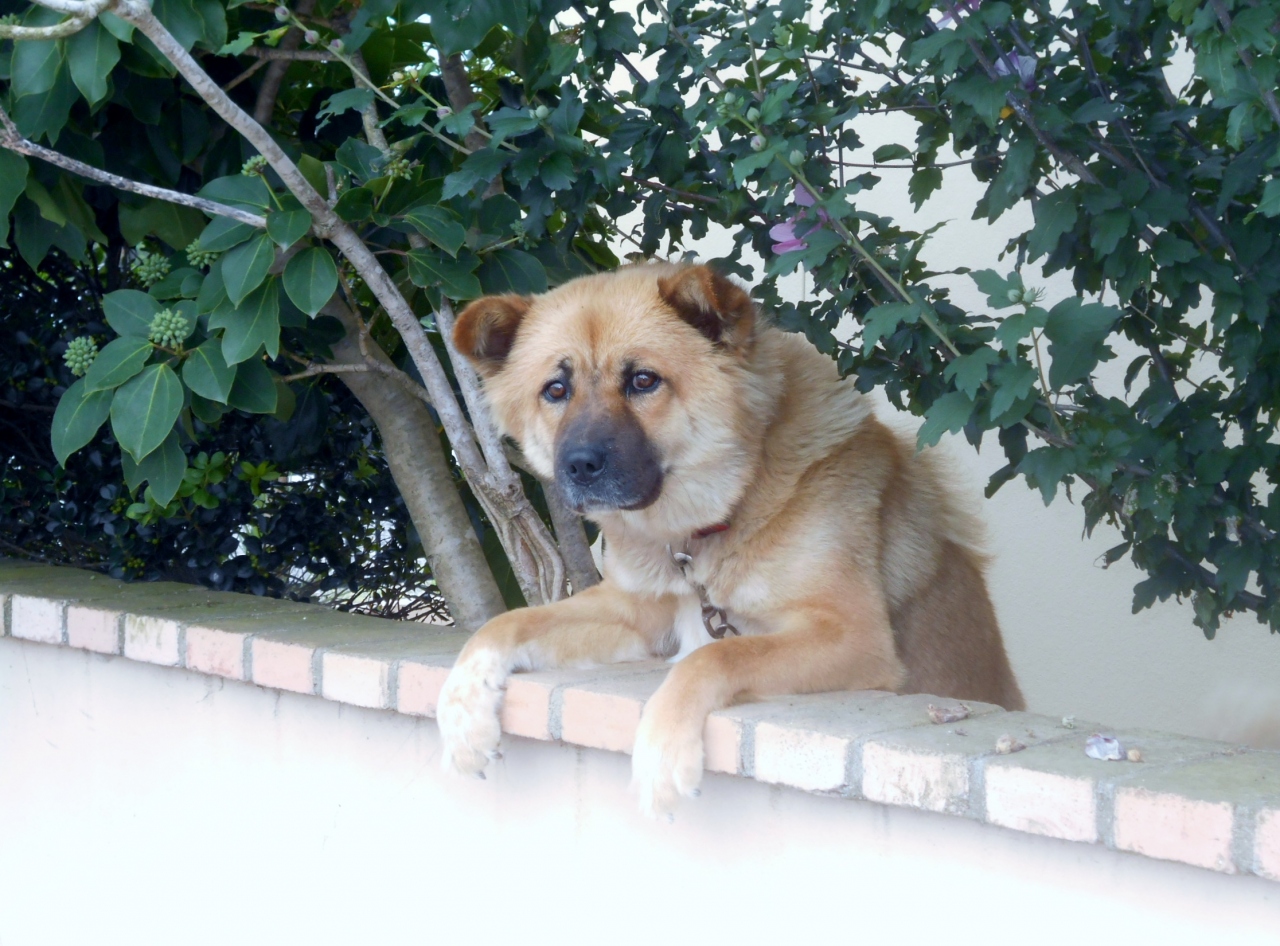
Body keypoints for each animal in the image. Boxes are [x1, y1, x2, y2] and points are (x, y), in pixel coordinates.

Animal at [437, 262, 1024, 816]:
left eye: (643, 381)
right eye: (555, 391)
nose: (579, 466)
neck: (708, 529)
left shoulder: (853, 636)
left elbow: (715, 657)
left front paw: (661, 758)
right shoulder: (636, 612)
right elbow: (506, 622)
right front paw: (462, 712)